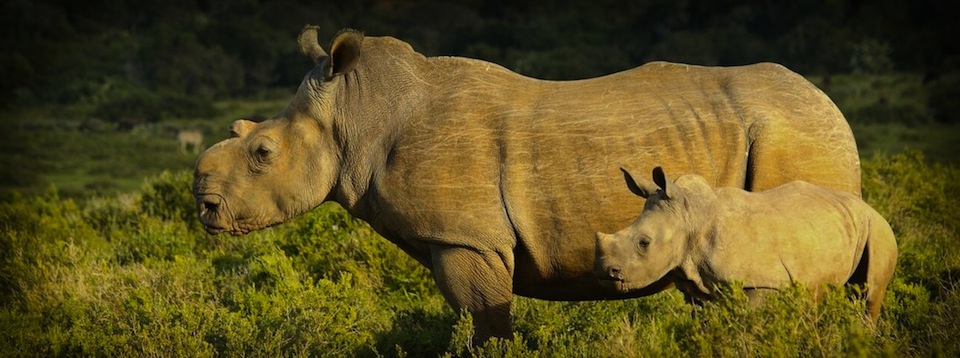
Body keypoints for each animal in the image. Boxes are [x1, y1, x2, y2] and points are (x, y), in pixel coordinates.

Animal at [191, 26, 860, 342]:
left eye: (261, 153)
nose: (204, 205)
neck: (357, 116)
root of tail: (834, 108)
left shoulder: (467, 238)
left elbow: (485, 322)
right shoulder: (465, 237)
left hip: (795, 136)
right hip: (792, 135)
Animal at [596, 167, 896, 322]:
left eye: (644, 243)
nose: (607, 272)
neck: (690, 217)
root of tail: (873, 208)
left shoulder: (760, 282)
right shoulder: (699, 287)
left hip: (878, 230)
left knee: (870, 293)